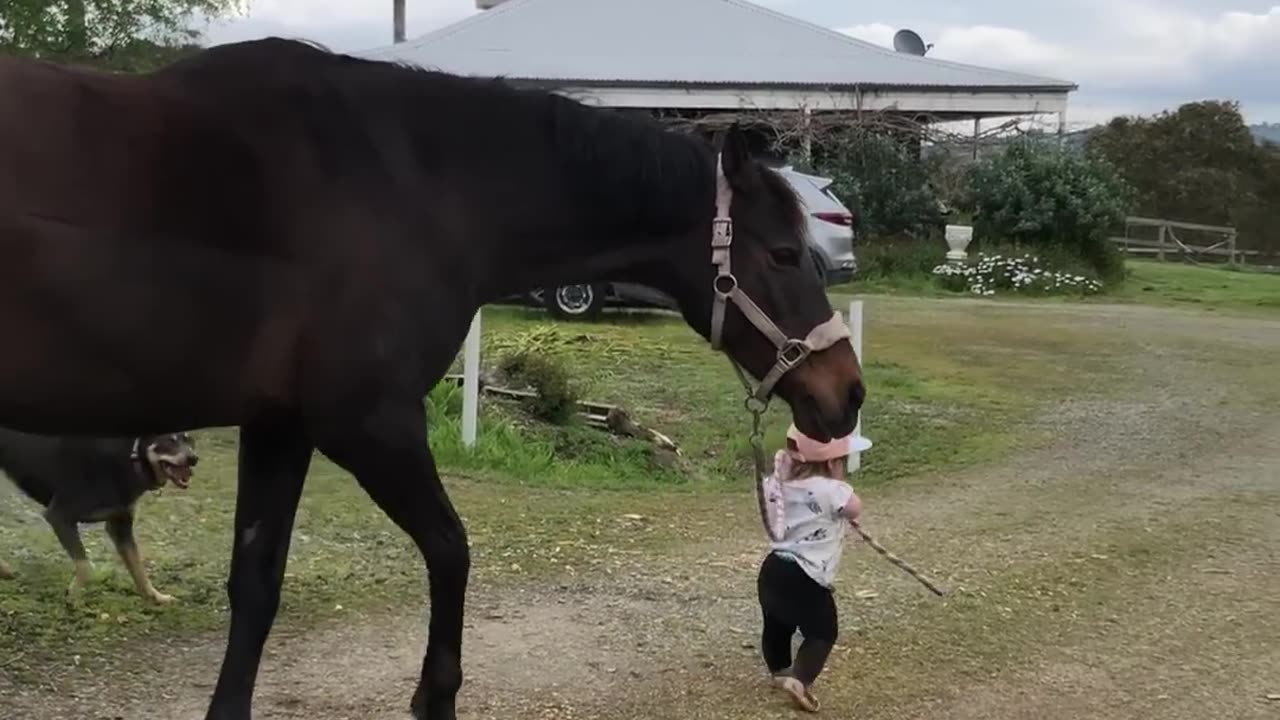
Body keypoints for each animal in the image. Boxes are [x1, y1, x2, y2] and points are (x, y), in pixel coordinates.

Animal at [0, 427, 197, 602]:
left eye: (188, 440)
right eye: (170, 440)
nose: (194, 458)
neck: (130, 460)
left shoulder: (120, 526)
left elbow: (138, 568)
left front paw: (155, 596)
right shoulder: (59, 515)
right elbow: (85, 565)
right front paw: (73, 596)